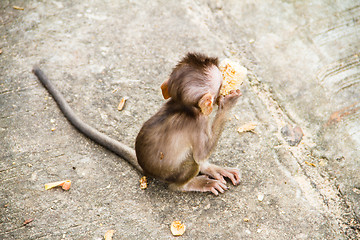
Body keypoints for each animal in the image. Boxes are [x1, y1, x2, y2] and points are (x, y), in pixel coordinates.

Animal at [33, 52, 240, 195]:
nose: (223, 94)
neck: (184, 106)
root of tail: (146, 169)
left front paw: (212, 167)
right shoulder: (197, 123)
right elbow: (201, 153)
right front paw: (228, 104)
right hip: (175, 174)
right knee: (189, 167)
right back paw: (194, 183)